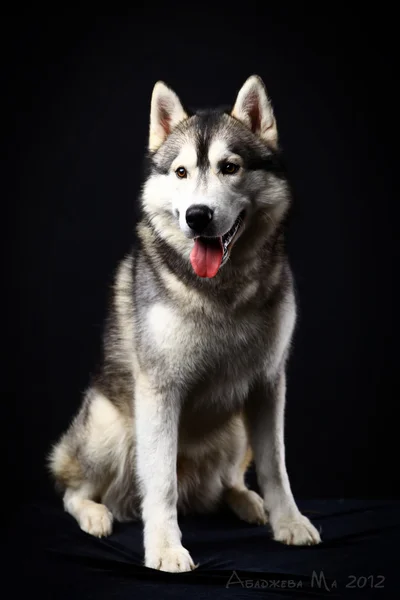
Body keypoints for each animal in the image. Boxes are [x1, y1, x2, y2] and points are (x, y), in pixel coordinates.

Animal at [48, 74, 320, 572]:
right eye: (180, 173)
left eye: (230, 167)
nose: (198, 216)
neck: (222, 292)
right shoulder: (160, 389)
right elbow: (161, 483)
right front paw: (165, 547)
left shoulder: (270, 383)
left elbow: (275, 464)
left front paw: (288, 521)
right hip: (109, 428)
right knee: (74, 490)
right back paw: (95, 514)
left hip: (234, 431)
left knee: (226, 481)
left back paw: (245, 500)